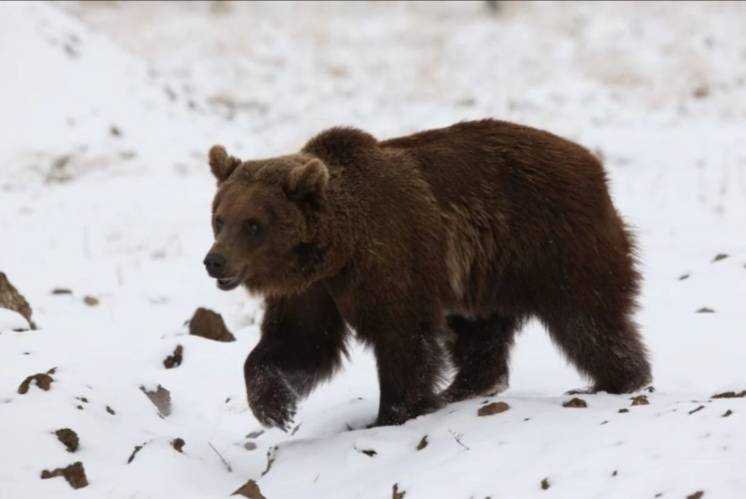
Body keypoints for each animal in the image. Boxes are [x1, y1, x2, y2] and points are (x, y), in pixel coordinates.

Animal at [205, 120, 652, 430]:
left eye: (253, 224)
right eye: (219, 218)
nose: (215, 261)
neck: (338, 248)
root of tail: (592, 163)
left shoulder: (391, 257)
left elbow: (403, 337)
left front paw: (394, 413)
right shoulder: (312, 290)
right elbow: (300, 342)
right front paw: (274, 408)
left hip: (552, 242)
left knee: (587, 317)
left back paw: (616, 380)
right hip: (482, 274)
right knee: (479, 330)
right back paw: (464, 387)